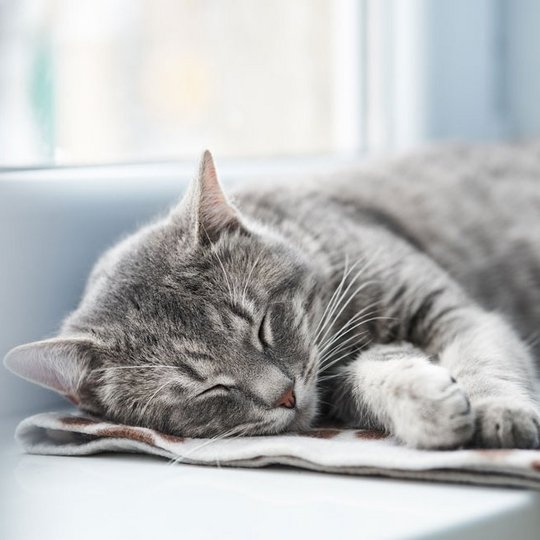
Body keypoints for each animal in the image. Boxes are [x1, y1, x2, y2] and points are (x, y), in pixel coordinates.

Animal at [4, 142, 540, 448]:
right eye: (209, 388)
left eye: (262, 327)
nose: (285, 396)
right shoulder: (341, 383)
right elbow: (373, 378)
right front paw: (426, 403)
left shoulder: (453, 310)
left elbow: (484, 361)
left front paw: (496, 409)